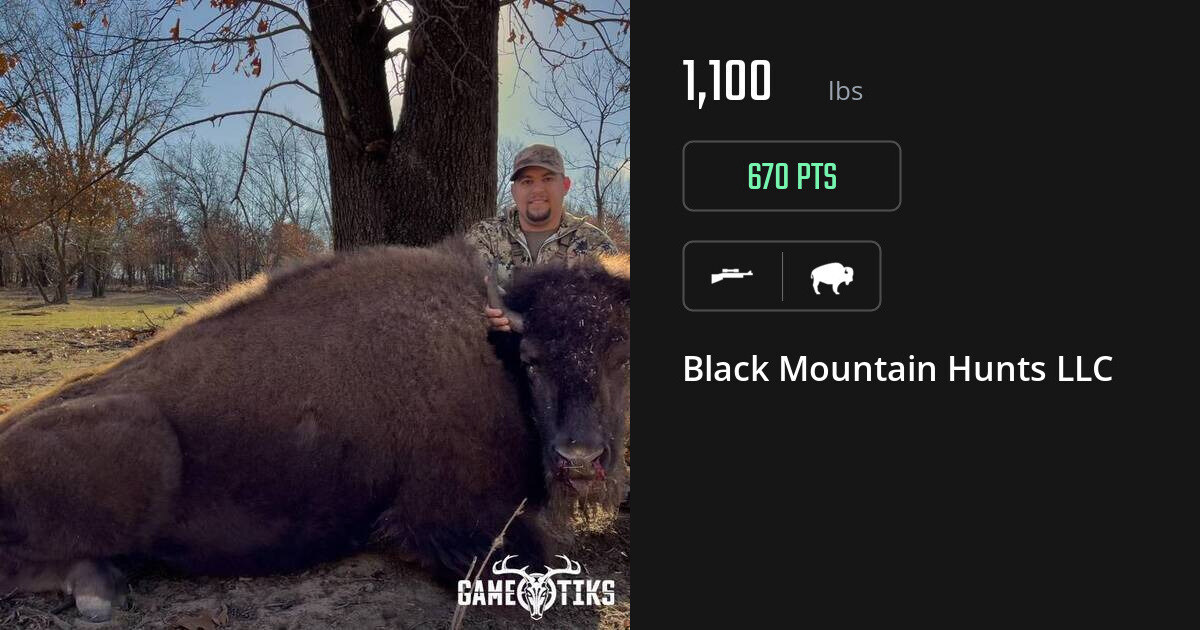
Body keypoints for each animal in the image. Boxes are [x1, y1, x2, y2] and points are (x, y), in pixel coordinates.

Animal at [0, 239, 630, 622]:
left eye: (619, 355)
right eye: (532, 361)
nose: (579, 457)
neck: (492, 354)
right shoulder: (447, 521)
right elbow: (538, 552)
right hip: (146, 439)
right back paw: (99, 590)